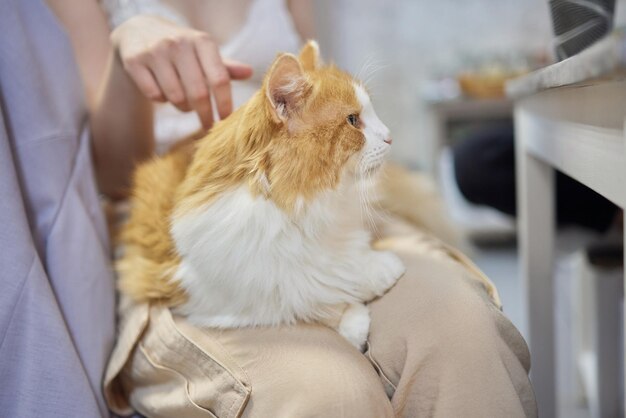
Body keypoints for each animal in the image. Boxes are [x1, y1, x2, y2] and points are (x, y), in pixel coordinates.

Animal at [117, 41, 404, 350]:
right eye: (353, 120)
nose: (390, 136)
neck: (298, 210)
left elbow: (343, 264)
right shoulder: (220, 293)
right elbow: (311, 295)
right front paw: (356, 317)